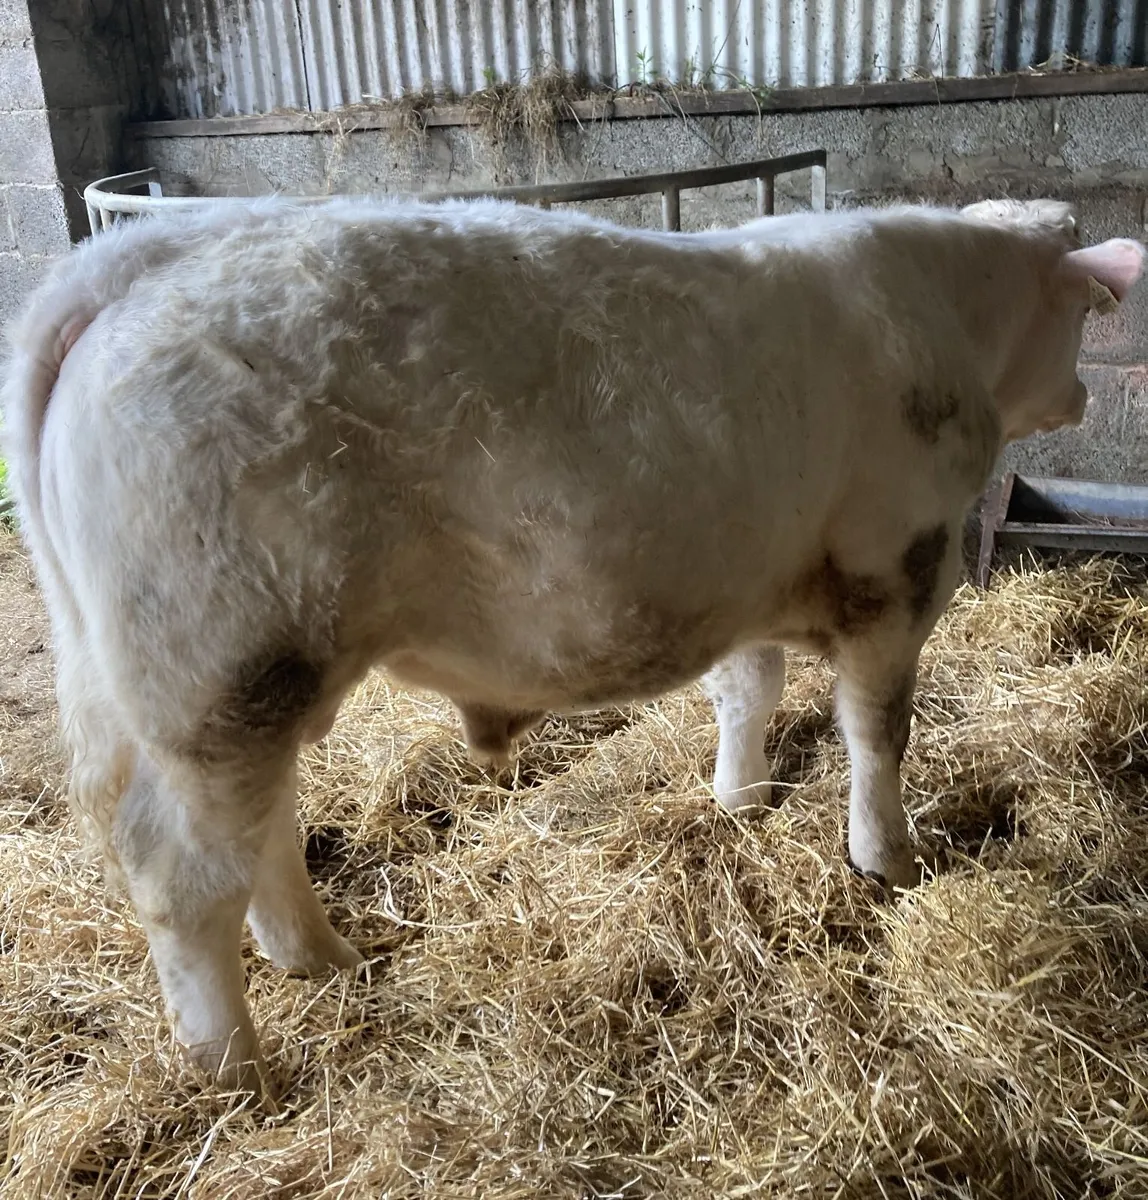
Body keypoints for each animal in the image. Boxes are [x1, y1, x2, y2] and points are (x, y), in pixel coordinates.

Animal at [2, 193, 1143, 1094]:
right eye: (1085, 313)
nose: (1087, 392)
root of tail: (146, 260)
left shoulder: (748, 579)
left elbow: (749, 690)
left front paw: (739, 800)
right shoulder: (895, 570)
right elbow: (878, 734)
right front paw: (888, 858)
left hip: (229, 682)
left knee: (262, 831)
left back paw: (323, 957)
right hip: (214, 674)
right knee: (184, 879)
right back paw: (235, 1069)